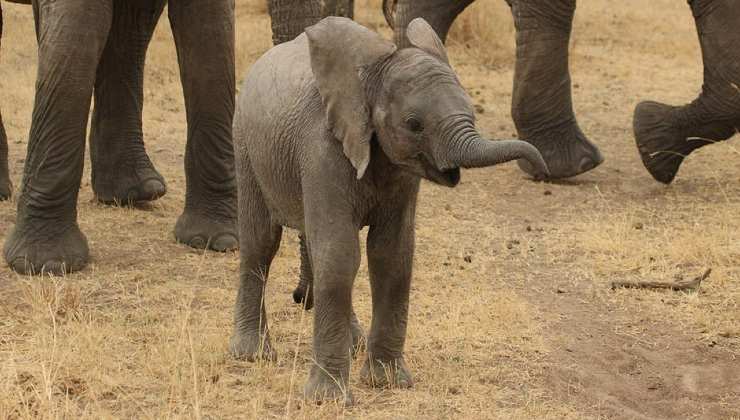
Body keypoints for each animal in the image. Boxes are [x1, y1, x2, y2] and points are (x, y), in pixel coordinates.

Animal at [231, 17, 548, 404]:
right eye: (414, 124)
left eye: (472, 111)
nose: (541, 168)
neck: (372, 77)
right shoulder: (322, 149)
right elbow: (340, 255)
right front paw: (327, 400)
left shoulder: (401, 173)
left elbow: (391, 256)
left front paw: (388, 382)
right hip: (246, 145)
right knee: (261, 243)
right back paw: (251, 355)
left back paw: (353, 345)